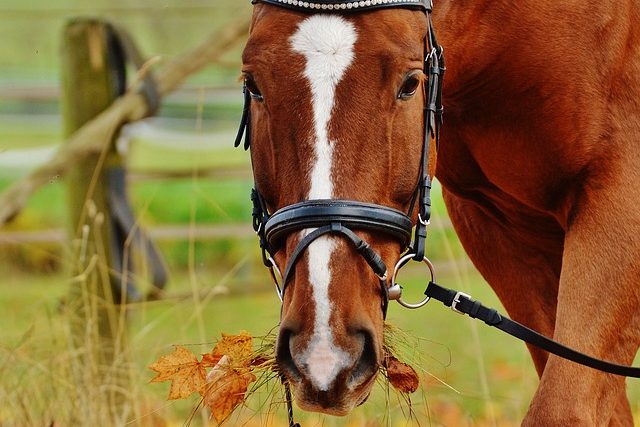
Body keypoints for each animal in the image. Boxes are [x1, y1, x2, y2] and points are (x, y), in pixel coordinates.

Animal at [239, 0, 640, 424]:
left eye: (410, 84)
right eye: (254, 84)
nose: (324, 355)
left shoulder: (621, 198)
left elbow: (562, 408)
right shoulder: (496, 225)